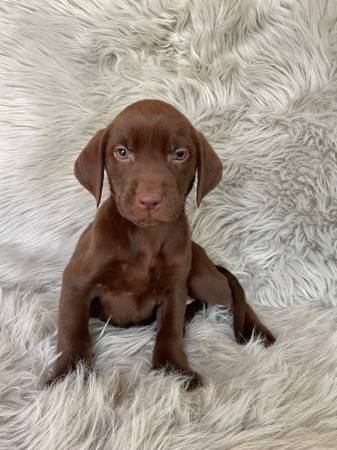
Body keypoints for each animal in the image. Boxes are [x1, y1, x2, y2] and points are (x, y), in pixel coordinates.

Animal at [48, 100, 272, 388]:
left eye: (179, 154)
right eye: (122, 152)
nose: (149, 200)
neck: (145, 237)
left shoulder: (174, 288)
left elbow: (170, 330)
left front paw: (174, 369)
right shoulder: (77, 282)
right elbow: (73, 329)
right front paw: (69, 376)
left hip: (202, 279)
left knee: (230, 292)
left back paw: (259, 332)